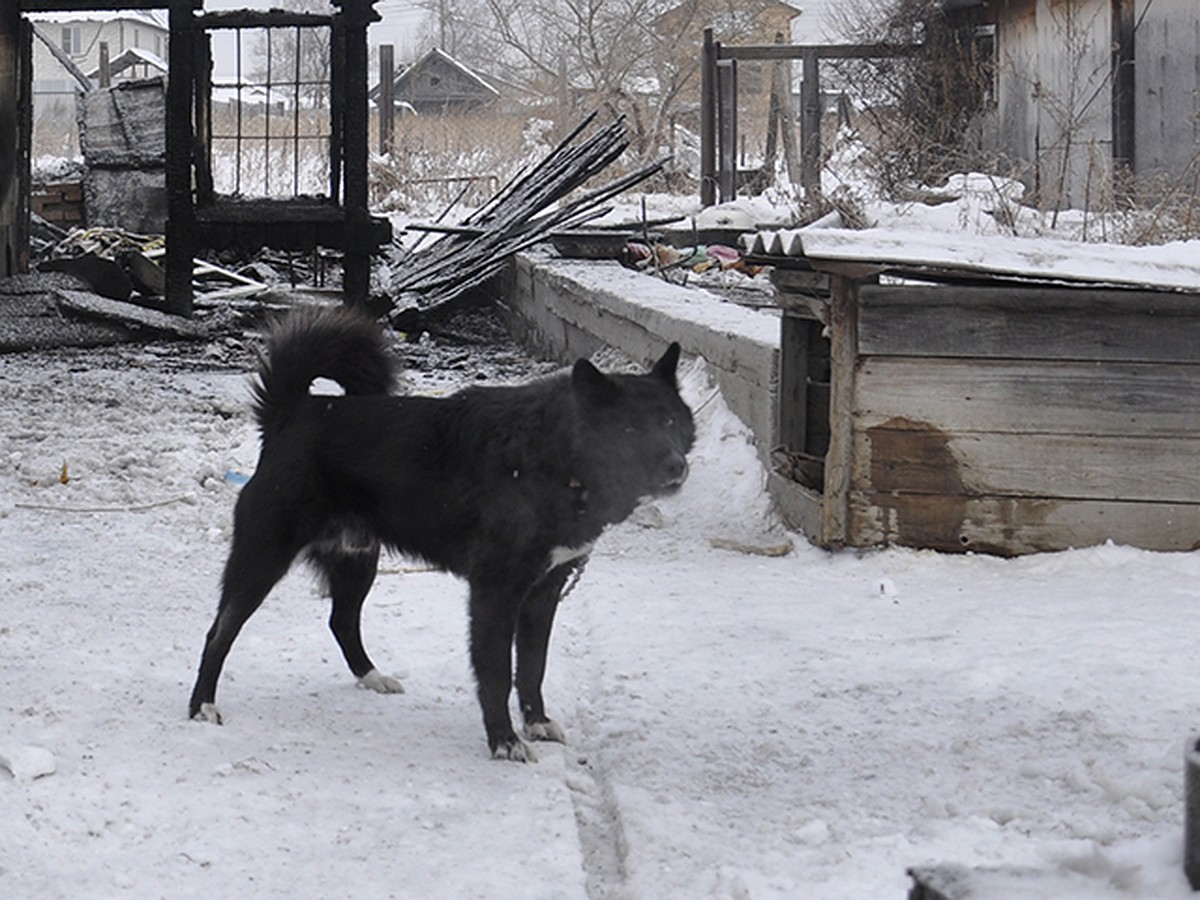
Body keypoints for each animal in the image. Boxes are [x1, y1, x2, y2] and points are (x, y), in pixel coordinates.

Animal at [187, 309, 696, 763]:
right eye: (628, 428)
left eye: (670, 422)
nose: (677, 467)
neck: (554, 456)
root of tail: (294, 411)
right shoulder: (496, 591)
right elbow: (497, 672)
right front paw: (504, 742)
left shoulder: (543, 592)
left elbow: (533, 666)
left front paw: (535, 722)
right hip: (263, 558)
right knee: (219, 631)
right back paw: (202, 707)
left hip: (358, 559)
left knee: (341, 621)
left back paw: (372, 676)